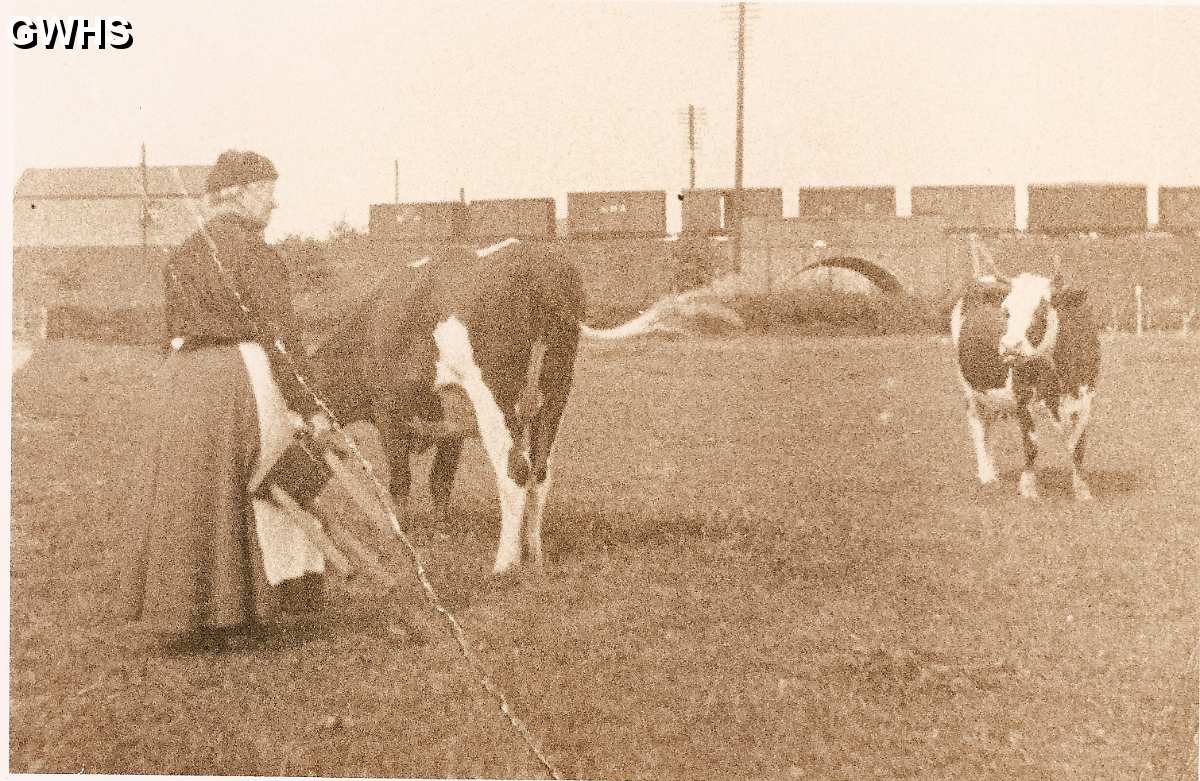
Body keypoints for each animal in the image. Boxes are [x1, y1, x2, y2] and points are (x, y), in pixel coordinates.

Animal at [950, 244, 1099, 501]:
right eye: (1005, 311)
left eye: (1040, 311)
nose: (1010, 346)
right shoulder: (1022, 400)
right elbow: (1031, 446)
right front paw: (1028, 489)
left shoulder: (1084, 400)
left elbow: (1078, 446)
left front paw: (1082, 491)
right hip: (970, 389)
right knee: (979, 428)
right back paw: (986, 475)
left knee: (989, 427)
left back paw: (993, 473)